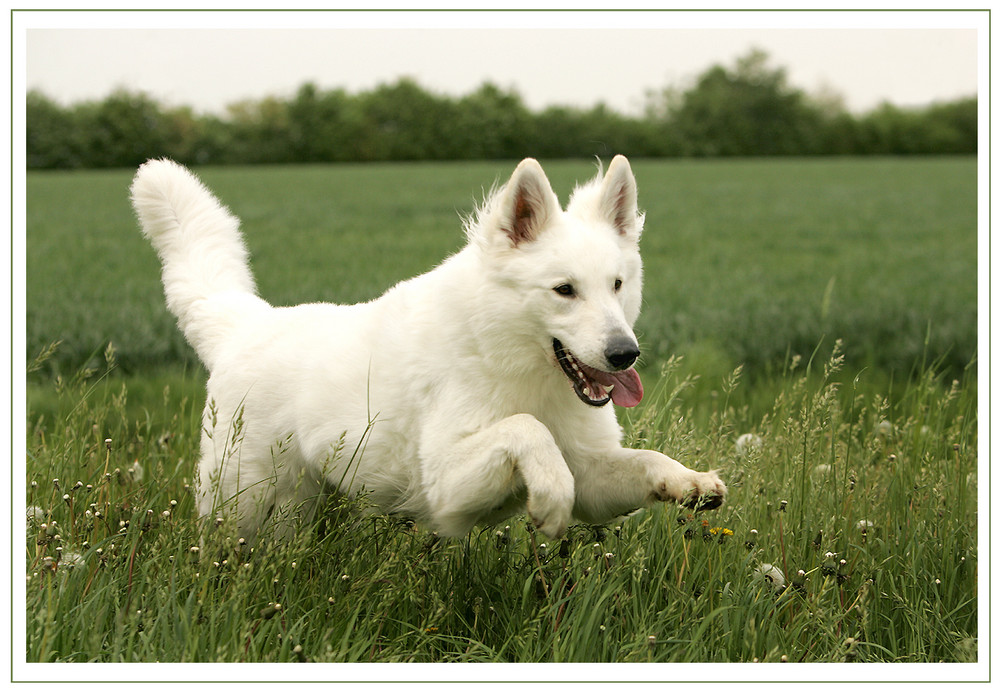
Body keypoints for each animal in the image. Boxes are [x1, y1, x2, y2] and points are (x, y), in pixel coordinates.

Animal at [133, 155, 728, 540]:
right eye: (564, 290)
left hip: (293, 510)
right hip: (240, 506)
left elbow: (644, 460)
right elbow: (527, 431)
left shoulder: (593, 476)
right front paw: (550, 499)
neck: (507, 357)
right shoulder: (446, 488)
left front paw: (690, 481)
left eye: (617, 285)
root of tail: (244, 322)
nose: (625, 353)